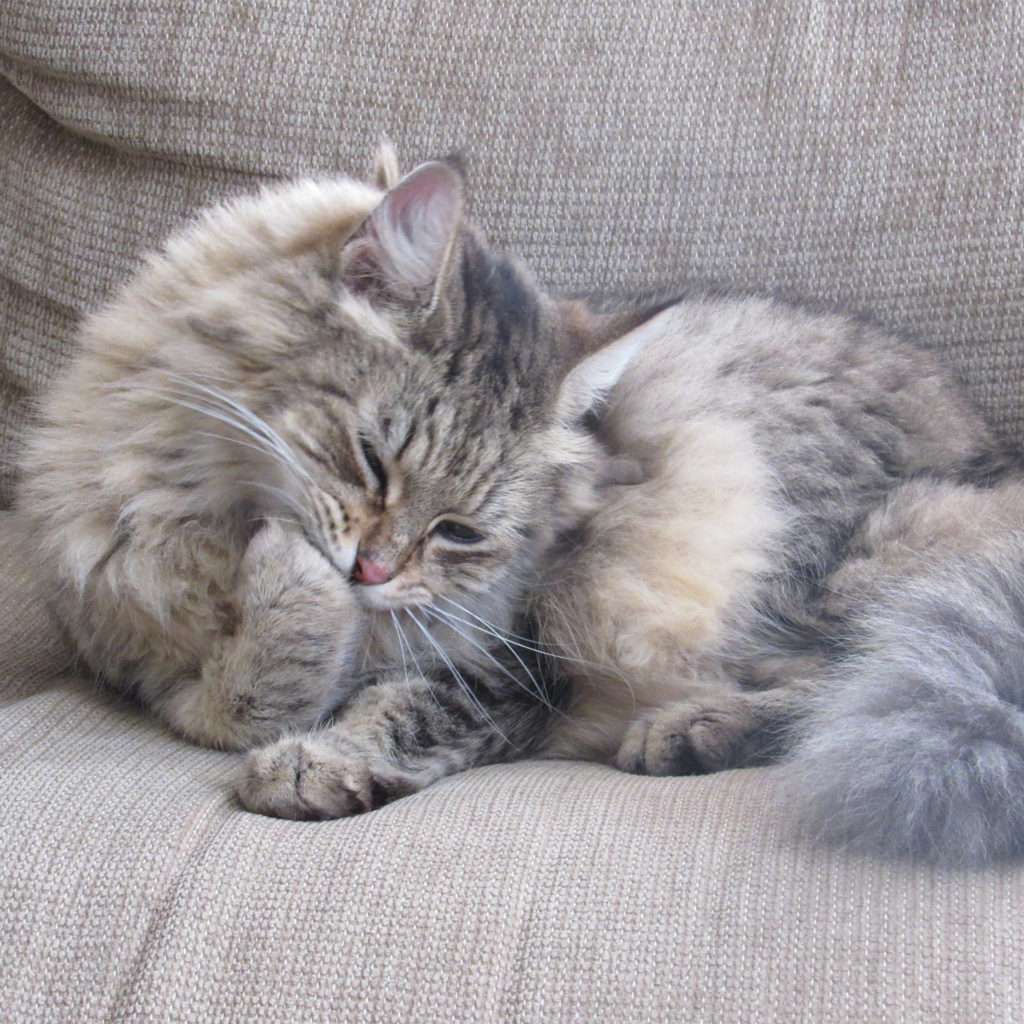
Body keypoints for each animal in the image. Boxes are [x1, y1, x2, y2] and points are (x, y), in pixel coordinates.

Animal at [19, 148, 1024, 860]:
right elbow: (245, 695)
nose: (369, 570)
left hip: (820, 555)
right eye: (373, 462)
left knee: (850, 680)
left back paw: (689, 729)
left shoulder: (512, 663)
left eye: (460, 531)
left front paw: (317, 755)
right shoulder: (140, 666)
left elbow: (380, 706)